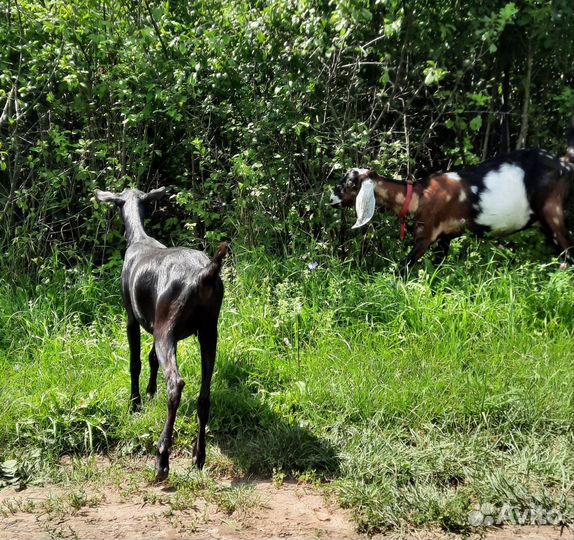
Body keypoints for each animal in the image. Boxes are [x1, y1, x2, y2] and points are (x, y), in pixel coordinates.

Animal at [96, 187, 227, 480]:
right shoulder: (154, 324)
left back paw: (162, 458)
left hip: (167, 329)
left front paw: (135, 402)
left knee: (176, 384)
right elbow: (150, 358)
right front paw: (149, 391)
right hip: (208, 331)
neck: (140, 240)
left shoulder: (132, 318)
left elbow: (135, 361)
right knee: (204, 395)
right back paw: (198, 457)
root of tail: (205, 274)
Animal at [330, 131, 574, 274]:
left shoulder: (426, 236)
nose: (331, 197)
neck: (418, 196)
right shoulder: (445, 238)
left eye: (349, 182)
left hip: (552, 213)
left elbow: (403, 269)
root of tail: (564, 163)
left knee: (569, 253)